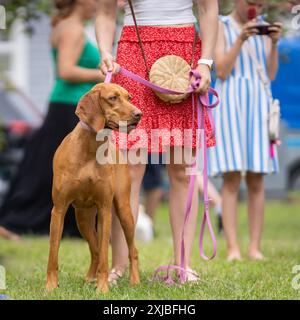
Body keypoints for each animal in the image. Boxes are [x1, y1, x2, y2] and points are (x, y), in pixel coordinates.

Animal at [45, 83, 142, 296]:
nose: (139, 114)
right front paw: (50, 286)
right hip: (83, 219)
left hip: (124, 211)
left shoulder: (104, 209)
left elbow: (106, 254)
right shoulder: (58, 210)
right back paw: (90, 278)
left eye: (129, 97)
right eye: (113, 98)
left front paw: (103, 288)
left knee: (131, 250)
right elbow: (53, 253)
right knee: (95, 249)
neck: (90, 148)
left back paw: (135, 281)